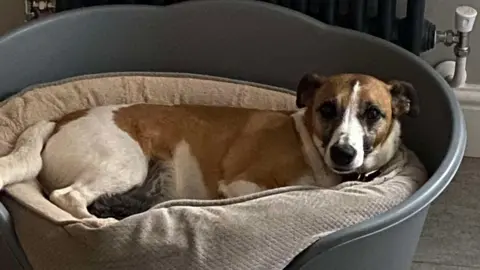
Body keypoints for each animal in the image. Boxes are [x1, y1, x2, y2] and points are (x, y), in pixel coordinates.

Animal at [37, 73, 418, 219]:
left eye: (373, 113)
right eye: (327, 109)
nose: (344, 153)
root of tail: (59, 121)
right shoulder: (241, 184)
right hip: (126, 164)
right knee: (67, 198)